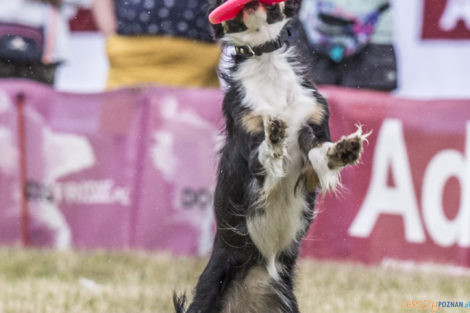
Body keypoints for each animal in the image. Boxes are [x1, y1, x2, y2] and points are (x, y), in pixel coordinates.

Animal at [174, 1, 370, 310]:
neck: (266, 62)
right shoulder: (250, 149)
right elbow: (266, 154)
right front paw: (275, 136)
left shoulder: (311, 133)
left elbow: (321, 153)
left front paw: (343, 151)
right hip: (209, 291)